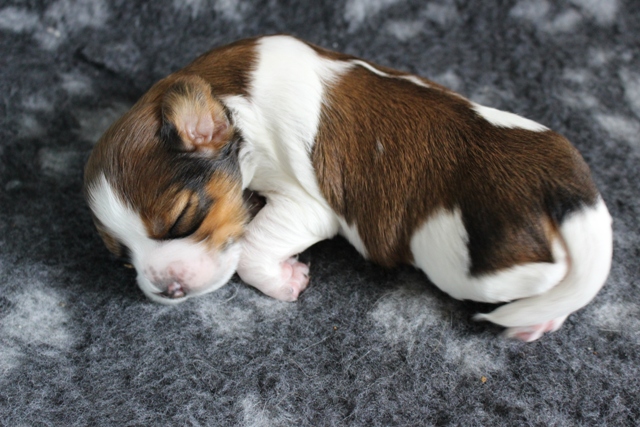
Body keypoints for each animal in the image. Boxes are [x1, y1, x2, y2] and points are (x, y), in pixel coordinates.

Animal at [84, 35, 612, 341]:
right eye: (122, 258)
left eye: (182, 220)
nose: (164, 289)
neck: (225, 89)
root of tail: (570, 198)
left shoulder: (307, 204)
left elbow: (252, 247)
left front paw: (284, 280)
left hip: (471, 269)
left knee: (549, 281)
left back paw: (536, 318)